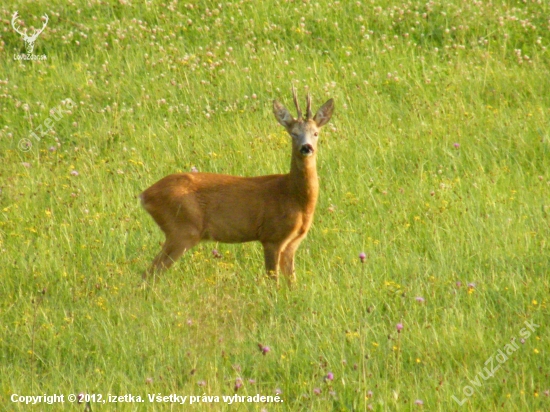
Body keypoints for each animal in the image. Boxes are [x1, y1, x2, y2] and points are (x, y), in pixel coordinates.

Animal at [140, 87, 334, 284]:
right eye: (293, 133)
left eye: (316, 133)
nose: (306, 147)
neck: (293, 196)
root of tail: (145, 195)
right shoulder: (271, 236)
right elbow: (273, 282)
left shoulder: (293, 242)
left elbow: (291, 282)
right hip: (183, 229)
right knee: (149, 273)